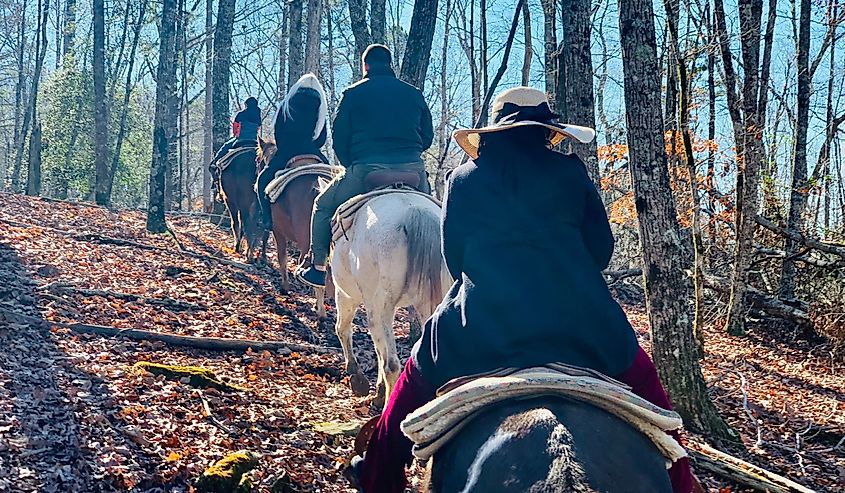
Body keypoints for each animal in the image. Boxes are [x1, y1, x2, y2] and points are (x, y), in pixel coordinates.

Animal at [254, 136, 330, 318]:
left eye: (258, 160)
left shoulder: (278, 233)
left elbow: (282, 258)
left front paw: (285, 287)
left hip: (306, 240)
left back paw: (320, 309)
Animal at [328, 190, 452, 406]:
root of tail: (415, 211)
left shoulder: (345, 295)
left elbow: (343, 330)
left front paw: (359, 380)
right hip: (430, 304)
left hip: (379, 307)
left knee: (391, 363)